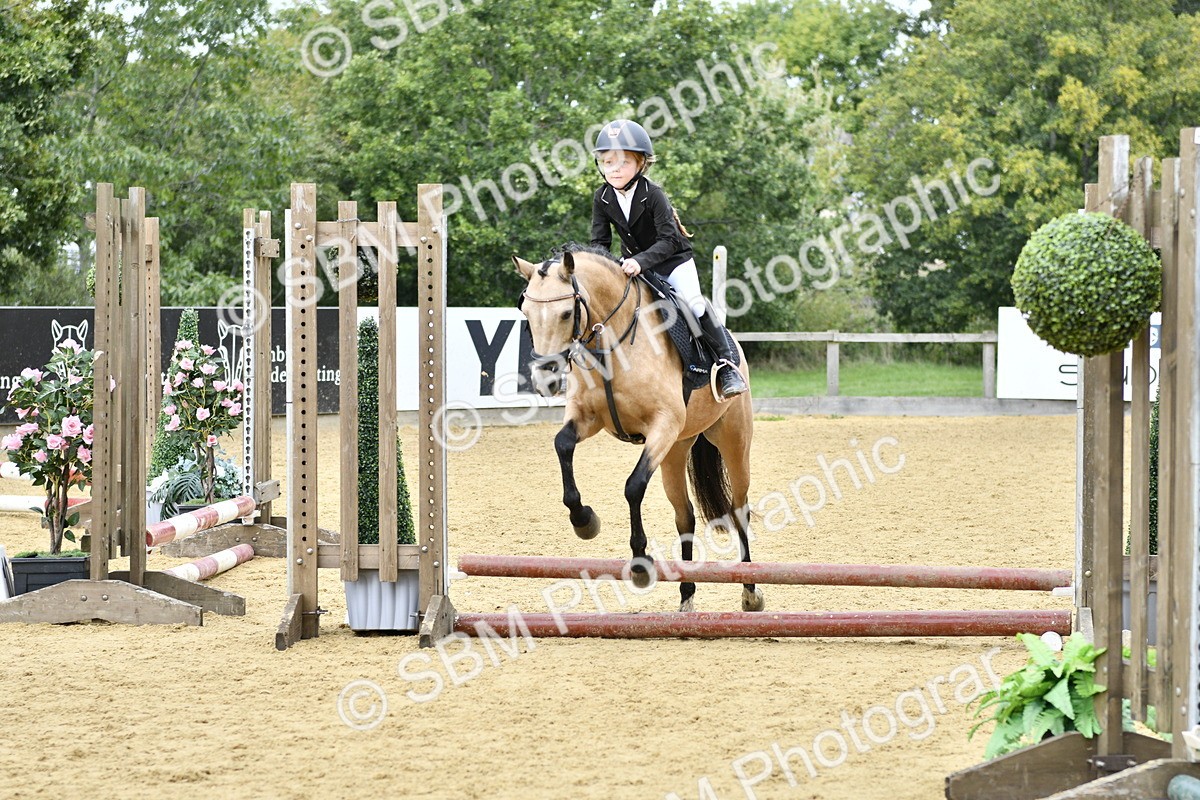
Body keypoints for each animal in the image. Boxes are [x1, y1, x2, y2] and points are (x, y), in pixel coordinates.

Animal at [513, 246, 764, 613]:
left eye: (566, 313)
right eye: (526, 313)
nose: (544, 381)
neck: (610, 343)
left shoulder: (662, 425)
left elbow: (633, 487)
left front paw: (641, 564)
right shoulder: (588, 418)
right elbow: (562, 445)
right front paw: (584, 520)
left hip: (732, 440)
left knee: (738, 508)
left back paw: (750, 591)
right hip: (676, 449)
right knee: (685, 516)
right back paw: (686, 596)